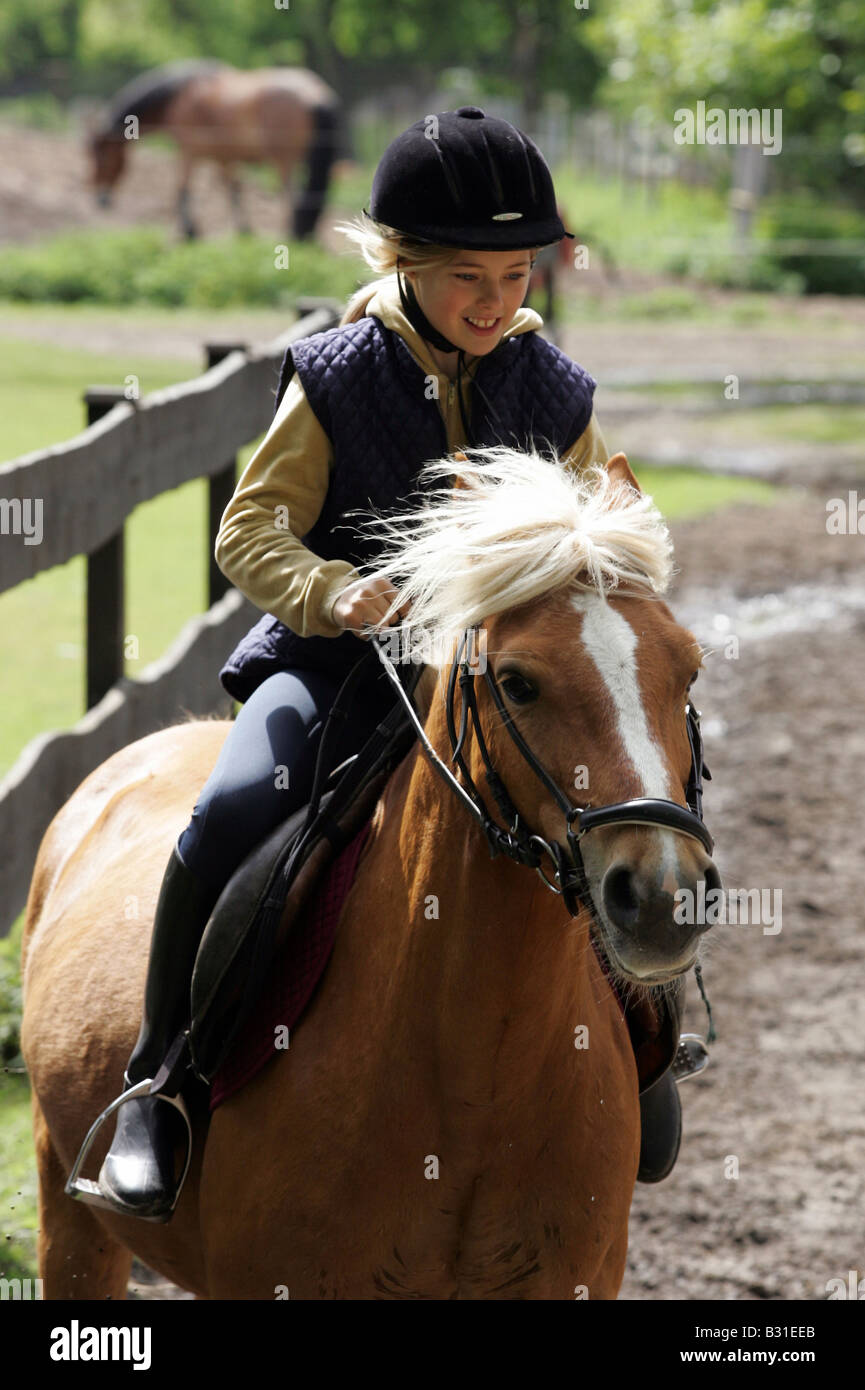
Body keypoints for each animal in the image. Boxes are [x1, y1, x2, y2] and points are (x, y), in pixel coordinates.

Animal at [88, 60, 341, 240]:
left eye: (102, 157)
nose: (100, 199)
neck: (179, 96)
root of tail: (314, 95)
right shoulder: (224, 157)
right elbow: (234, 190)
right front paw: (244, 231)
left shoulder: (188, 151)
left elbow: (182, 188)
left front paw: (190, 231)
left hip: (283, 159)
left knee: (293, 196)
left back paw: (291, 233)